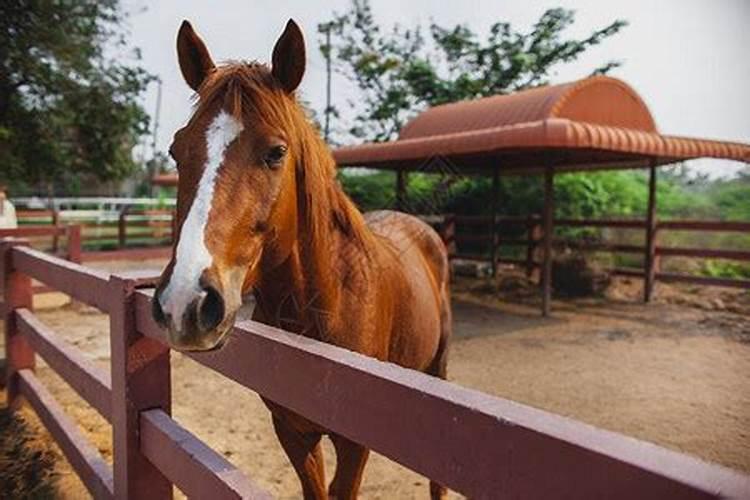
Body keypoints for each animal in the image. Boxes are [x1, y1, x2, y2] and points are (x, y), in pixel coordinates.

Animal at [154, 19, 452, 500]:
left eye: (276, 152)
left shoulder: (353, 445)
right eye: (176, 151)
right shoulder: (293, 432)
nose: (185, 303)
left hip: (438, 370)